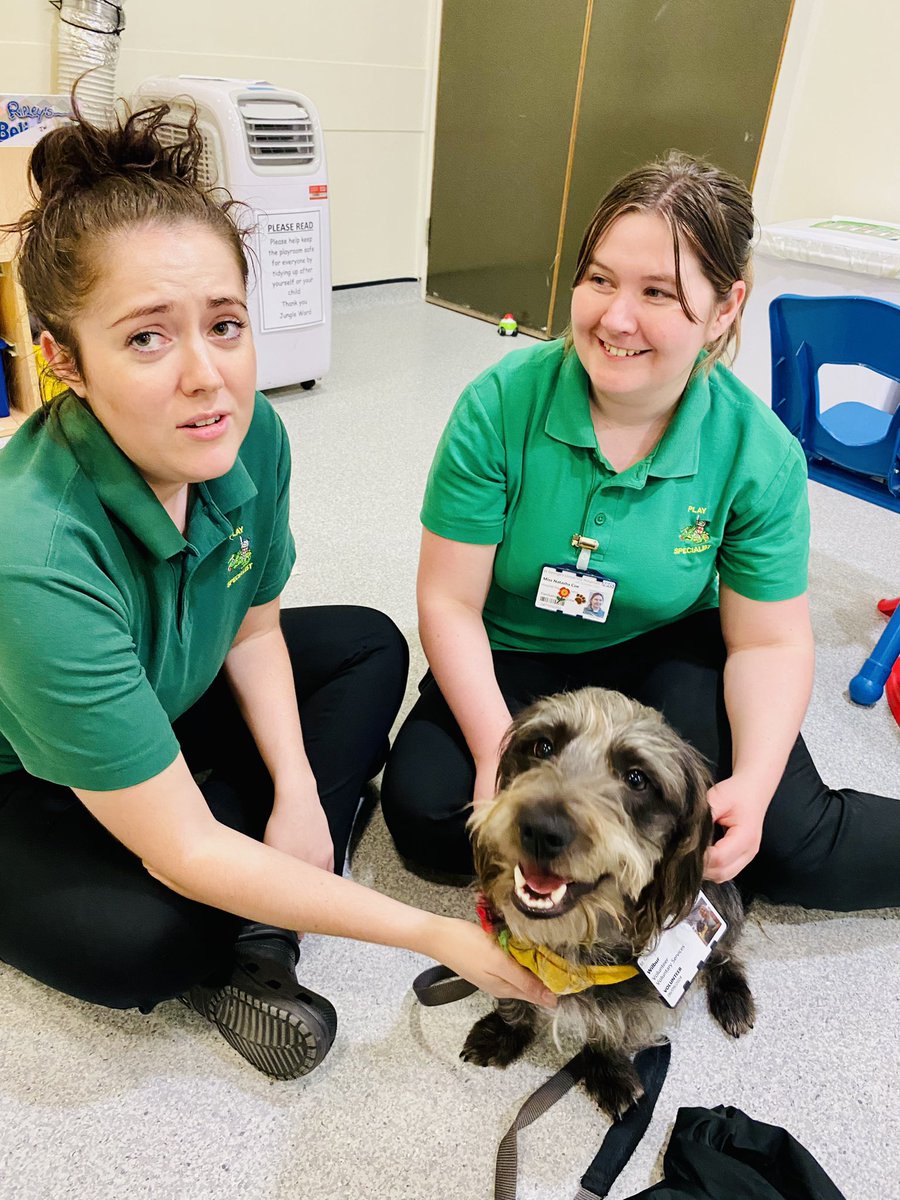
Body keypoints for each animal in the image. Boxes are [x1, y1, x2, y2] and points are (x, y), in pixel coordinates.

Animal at [465, 691, 753, 1118]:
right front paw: (504, 1029)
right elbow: (515, 999)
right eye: (542, 746)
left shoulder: (634, 1001)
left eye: (636, 778)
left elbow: (610, 1025)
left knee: (725, 949)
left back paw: (732, 994)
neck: (573, 943)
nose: (541, 829)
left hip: (721, 894)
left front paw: (607, 1070)